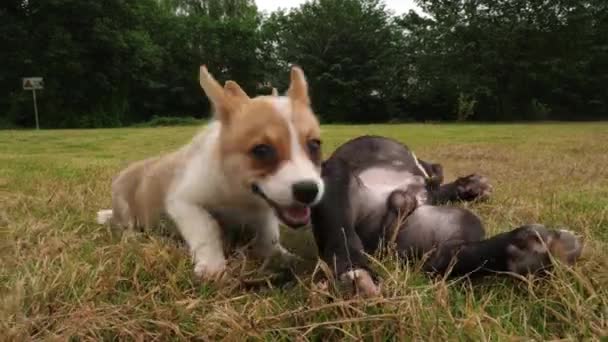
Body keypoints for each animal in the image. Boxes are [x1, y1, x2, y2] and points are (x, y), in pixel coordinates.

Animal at [98, 65, 328, 280]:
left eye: (315, 144)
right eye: (262, 150)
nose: (308, 191)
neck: (240, 195)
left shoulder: (264, 211)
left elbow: (268, 235)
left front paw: (280, 255)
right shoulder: (184, 202)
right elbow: (207, 229)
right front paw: (212, 266)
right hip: (124, 205)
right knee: (126, 226)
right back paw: (134, 237)